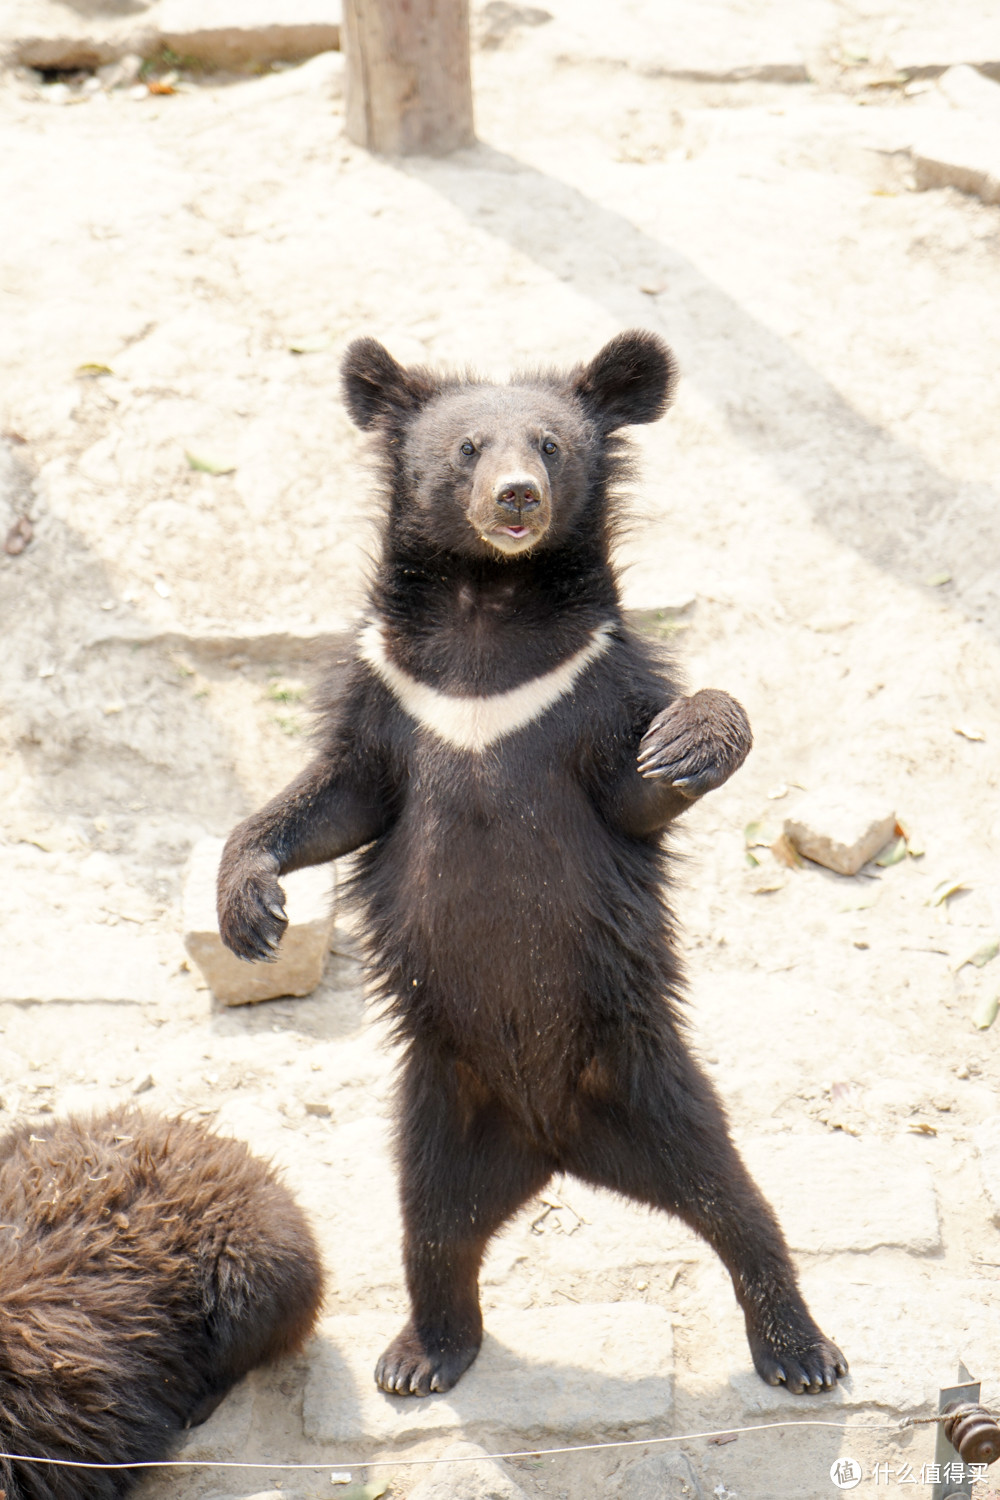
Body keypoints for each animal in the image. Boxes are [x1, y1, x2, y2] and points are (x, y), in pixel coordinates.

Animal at [217, 322, 845, 1398]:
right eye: (469, 449)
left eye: (549, 446)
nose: (516, 499)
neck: (488, 609)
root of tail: (554, 1140)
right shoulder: (392, 691)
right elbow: (336, 801)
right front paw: (248, 910)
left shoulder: (585, 686)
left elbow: (638, 784)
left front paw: (692, 740)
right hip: (437, 1101)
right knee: (432, 1231)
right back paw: (419, 1357)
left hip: (650, 1078)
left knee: (735, 1205)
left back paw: (800, 1352)